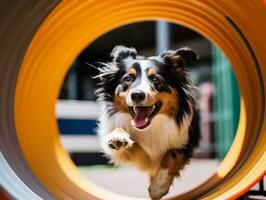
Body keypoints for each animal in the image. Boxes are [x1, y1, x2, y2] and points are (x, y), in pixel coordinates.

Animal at [95, 45, 200, 200]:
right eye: (127, 78)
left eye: (156, 79)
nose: (137, 95)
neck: (150, 126)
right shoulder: (124, 153)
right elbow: (120, 136)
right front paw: (118, 137)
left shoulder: (185, 143)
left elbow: (171, 155)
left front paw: (158, 187)